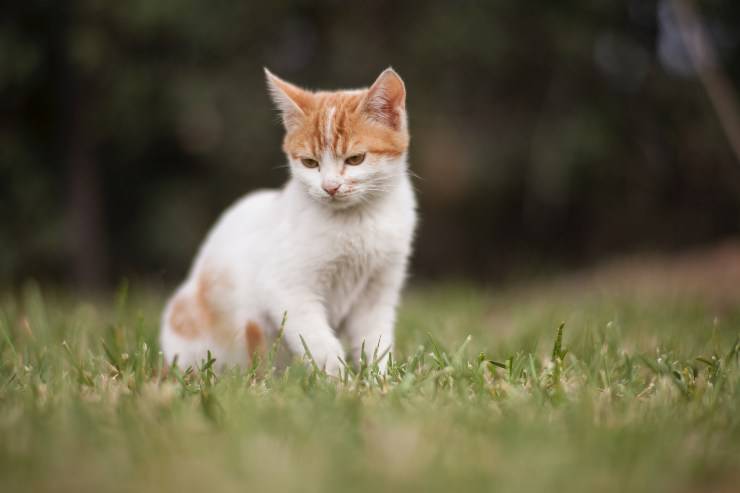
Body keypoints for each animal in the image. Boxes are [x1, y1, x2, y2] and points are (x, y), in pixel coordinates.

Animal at [160, 67, 416, 374]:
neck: (357, 220)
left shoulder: (378, 292)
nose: (330, 187)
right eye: (309, 163)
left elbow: (375, 340)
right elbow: (319, 341)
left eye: (355, 159)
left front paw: (379, 378)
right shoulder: (285, 290)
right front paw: (339, 378)